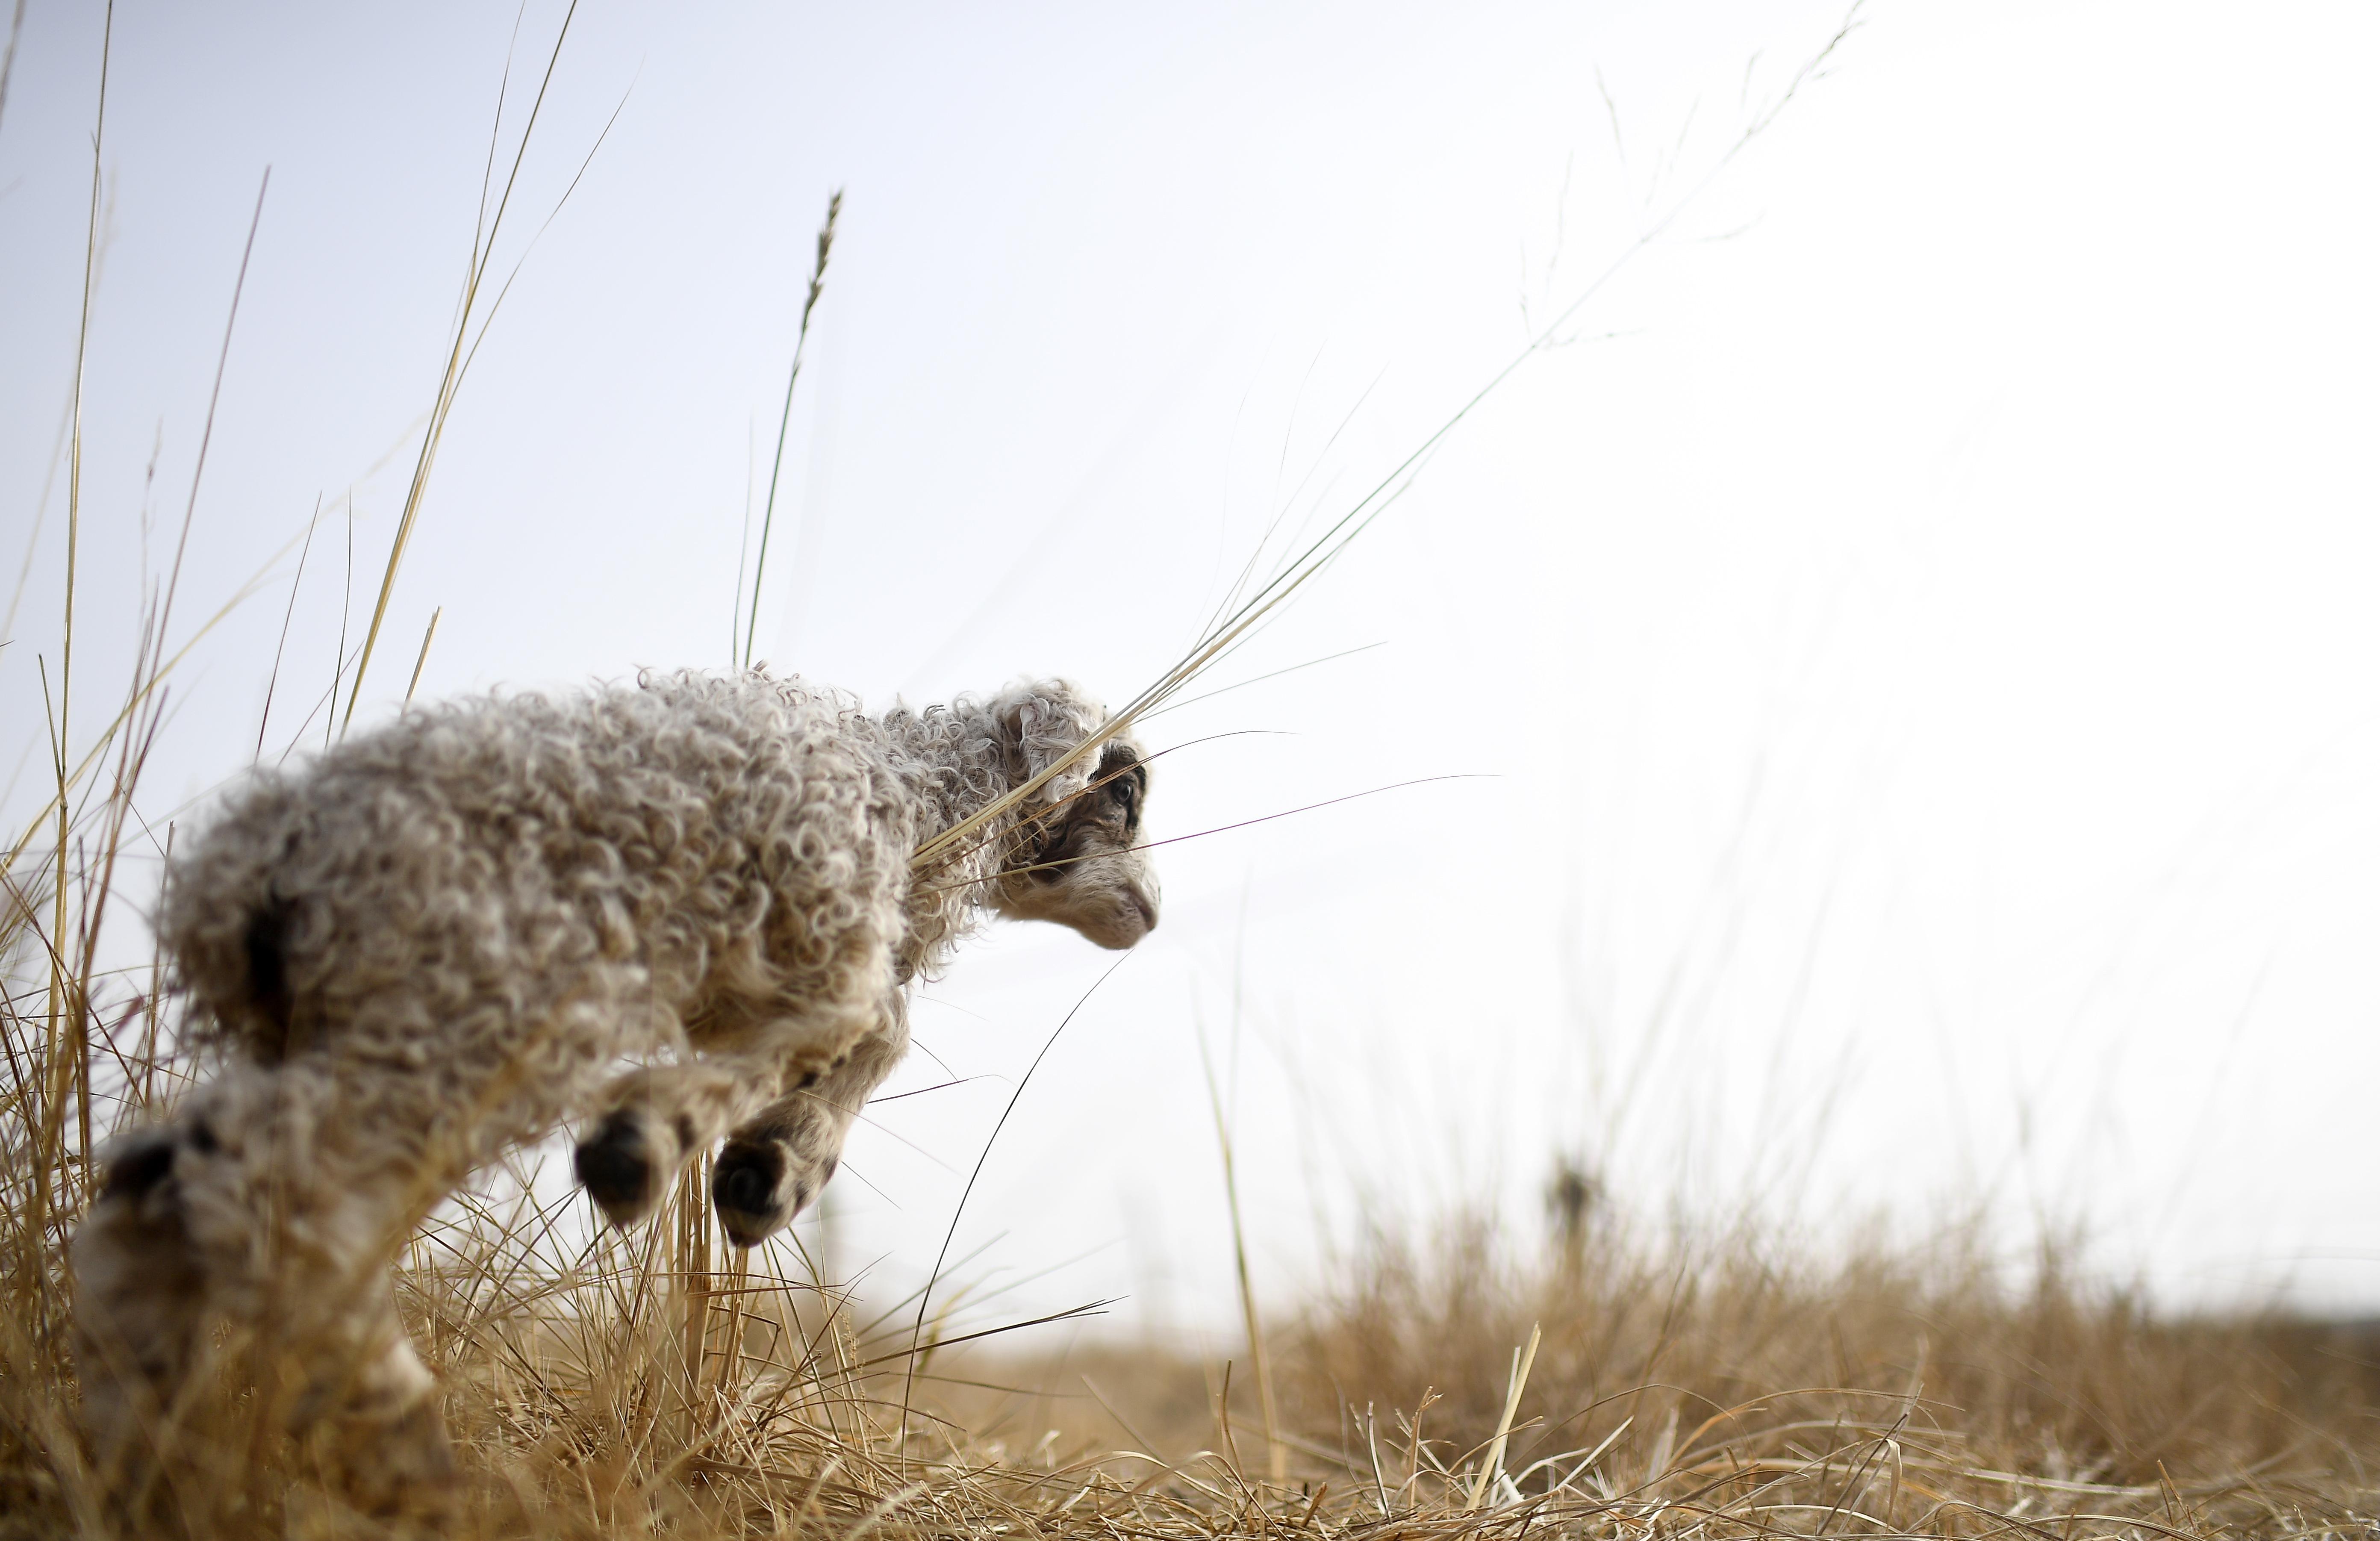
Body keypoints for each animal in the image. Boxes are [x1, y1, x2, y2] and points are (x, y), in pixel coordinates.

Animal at [69, 667, 1157, 1524]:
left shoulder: (759, 962)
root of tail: (251, 864)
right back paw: (398, 1443)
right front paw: (662, 1143)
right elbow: (858, 1018)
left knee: (159, 1189)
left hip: (348, 1030)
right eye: (1130, 790)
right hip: (474, 1008)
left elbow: (867, 1028)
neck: (913, 791)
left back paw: (129, 1463)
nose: (1148, 913)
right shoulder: (820, 927)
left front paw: (772, 1165)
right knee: (280, 1195)